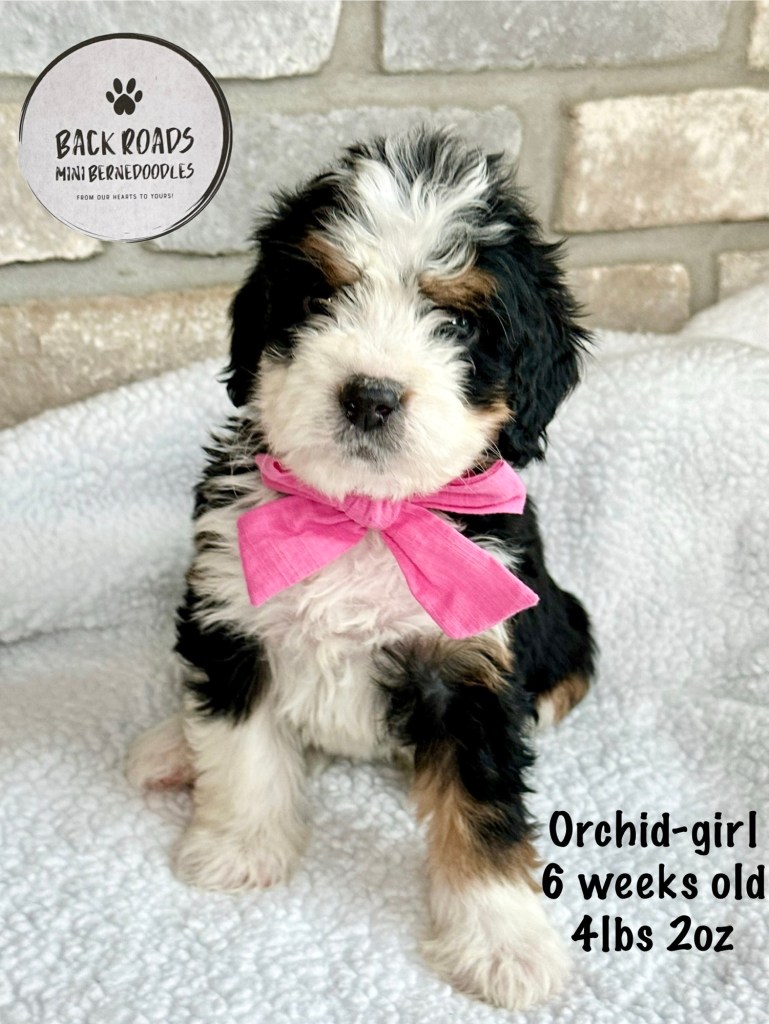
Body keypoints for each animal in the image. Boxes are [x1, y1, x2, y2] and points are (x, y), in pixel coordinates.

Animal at [127, 128, 596, 1011]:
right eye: (319, 299)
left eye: (458, 321)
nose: (370, 395)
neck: (365, 518)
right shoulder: (233, 614)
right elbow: (243, 748)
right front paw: (239, 848)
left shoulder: (470, 664)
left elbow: (485, 808)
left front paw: (504, 944)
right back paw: (170, 747)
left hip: (568, 617)